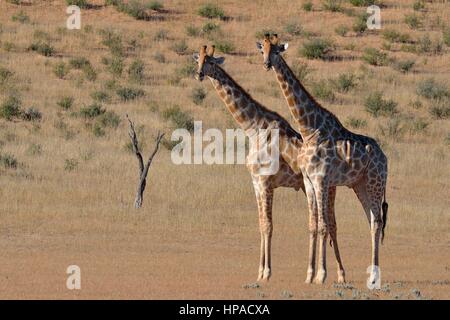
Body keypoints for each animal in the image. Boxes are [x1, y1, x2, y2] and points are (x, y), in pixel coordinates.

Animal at [258, 35, 388, 284]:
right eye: (263, 49)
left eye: (277, 50)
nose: (267, 64)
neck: (309, 128)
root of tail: (385, 157)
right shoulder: (309, 181)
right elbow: (313, 224)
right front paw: (309, 275)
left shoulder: (321, 180)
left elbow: (323, 226)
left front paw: (321, 275)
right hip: (360, 185)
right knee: (371, 221)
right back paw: (371, 274)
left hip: (375, 182)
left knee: (377, 222)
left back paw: (375, 276)